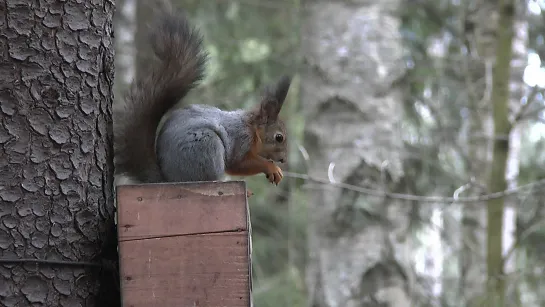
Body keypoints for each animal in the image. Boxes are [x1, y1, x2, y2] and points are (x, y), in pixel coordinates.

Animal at [112, 9, 292, 191]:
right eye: (279, 137)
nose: (283, 159)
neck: (252, 129)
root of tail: (168, 180)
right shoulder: (240, 140)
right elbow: (237, 164)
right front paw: (271, 168)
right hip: (207, 145)